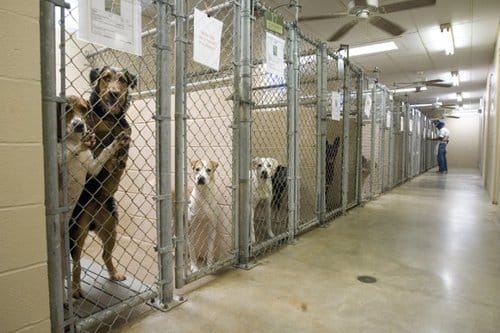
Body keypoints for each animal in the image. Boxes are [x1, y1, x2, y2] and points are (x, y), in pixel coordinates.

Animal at [69, 66, 137, 296]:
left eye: (123, 80)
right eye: (106, 78)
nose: (114, 93)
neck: (109, 118)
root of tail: (93, 221)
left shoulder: (125, 131)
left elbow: (125, 137)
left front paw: (119, 158)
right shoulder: (90, 132)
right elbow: (94, 136)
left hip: (110, 229)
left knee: (105, 255)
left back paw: (114, 273)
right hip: (78, 232)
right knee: (77, 263)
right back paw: (75, 288)